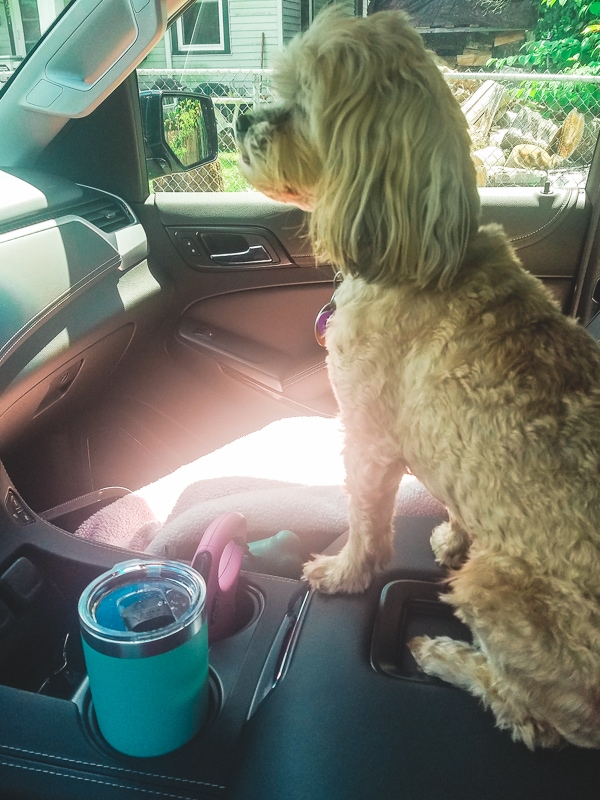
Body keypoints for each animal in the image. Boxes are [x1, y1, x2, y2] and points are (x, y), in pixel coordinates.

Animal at [236, 7, 600, 752]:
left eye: (303, 103)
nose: (239, 119)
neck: (426, 258)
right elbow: (461, 499)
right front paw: (453, 535)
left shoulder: (369, 439)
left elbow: (365, 521)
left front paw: (345, 572)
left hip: (502, 595)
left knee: (528, 715)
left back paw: (444, 655)